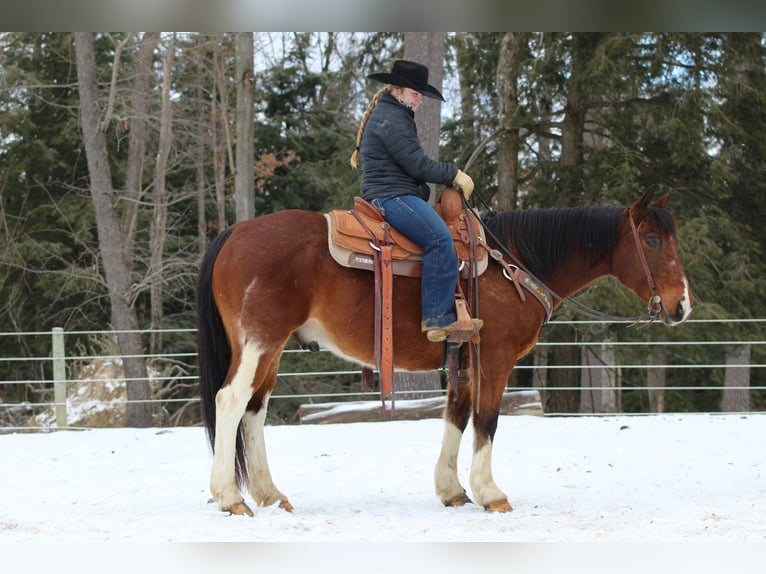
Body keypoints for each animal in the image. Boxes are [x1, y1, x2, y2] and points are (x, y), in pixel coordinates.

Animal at [195, 188, 692, 516]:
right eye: (651, 241)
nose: (682, 305)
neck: (515, 264)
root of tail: (235, 232)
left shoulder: (464, 360)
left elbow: (456, 415)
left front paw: (452, 489)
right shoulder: (495, 358)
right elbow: (486, 420)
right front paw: (491, 493)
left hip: (273, 349)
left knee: (254, 411)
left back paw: (269, 493)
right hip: (259, 341)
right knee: (231, 401)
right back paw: (231, 497)